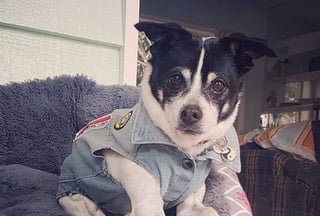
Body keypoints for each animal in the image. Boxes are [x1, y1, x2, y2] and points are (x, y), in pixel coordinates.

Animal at [57, 21, 276, 215]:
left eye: (219, 85)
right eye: (175, 78)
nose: (190, 113)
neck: (182, 148)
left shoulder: (191, 203)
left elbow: (207, 210)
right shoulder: (130, 172)